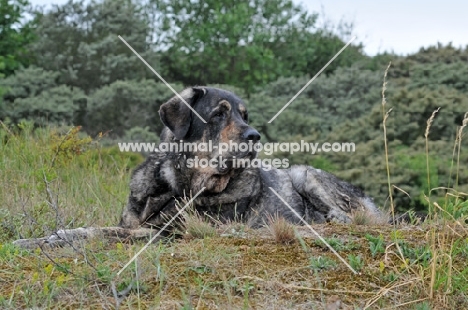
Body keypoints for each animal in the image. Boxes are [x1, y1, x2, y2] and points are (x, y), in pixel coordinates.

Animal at [12, 85, 380, 249]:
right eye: (218, 114)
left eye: (244, 116)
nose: (255, 135)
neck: (177, 185)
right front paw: (39, 238)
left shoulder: (167, 233)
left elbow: (102, 232)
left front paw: (56, 238)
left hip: (305, 174)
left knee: (349, 217)